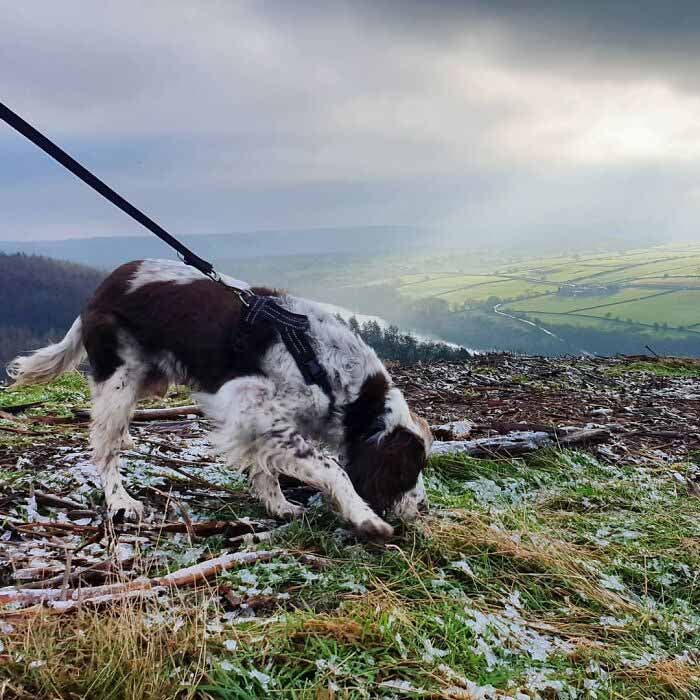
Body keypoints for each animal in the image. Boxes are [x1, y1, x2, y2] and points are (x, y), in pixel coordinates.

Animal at [6, 260, 432, 540]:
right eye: (409, 470)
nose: (424, 506)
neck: (329, 369)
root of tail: (102, 287)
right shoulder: (250, 405)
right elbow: (331, 468)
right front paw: (364, 517)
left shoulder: (260, 420)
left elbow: (265, 467)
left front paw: (278, 505)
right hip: (119, 380)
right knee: (103, 447)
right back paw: (121, 501)